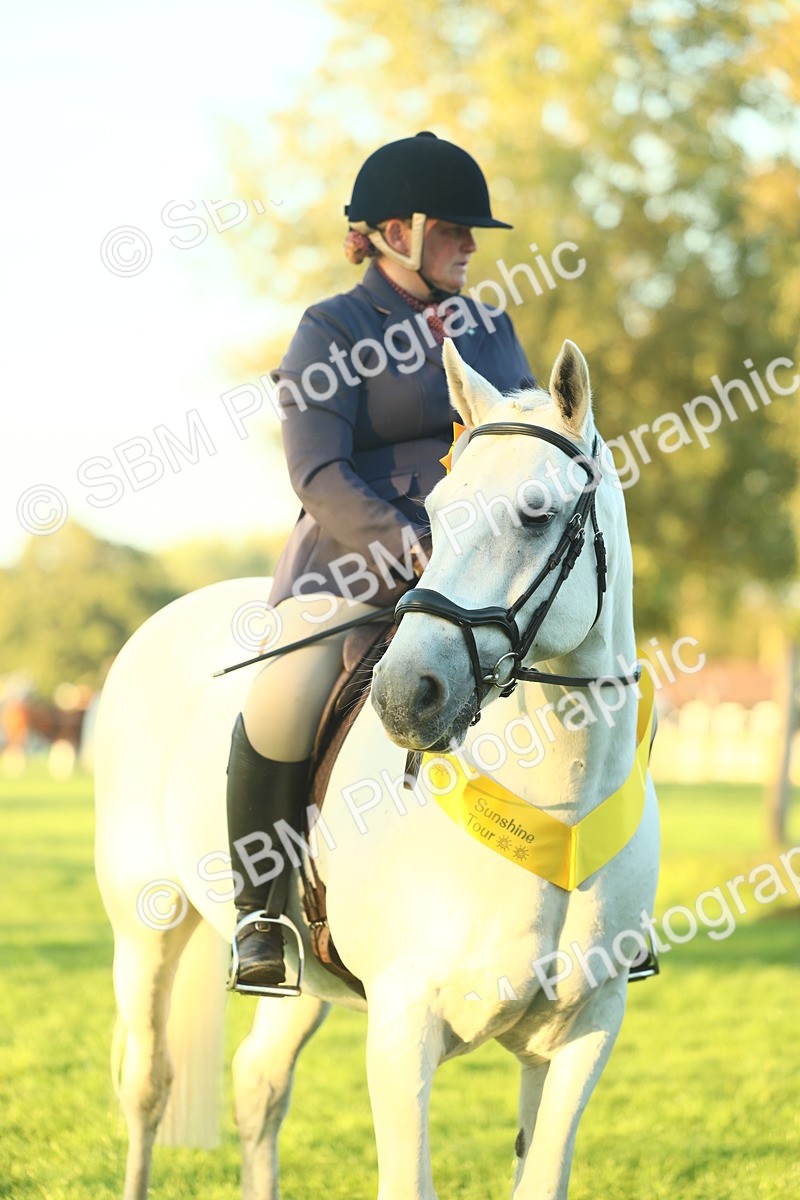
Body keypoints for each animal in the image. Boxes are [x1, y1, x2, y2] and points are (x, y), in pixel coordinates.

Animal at [94, 336, 659, 1200]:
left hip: (300, 979)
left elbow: (541, 1175)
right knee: (146, 1084)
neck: (557, 802)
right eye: (438, 507)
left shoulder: (583, 1032)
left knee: (258, 1081)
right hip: (146, 925)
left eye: (537, 512)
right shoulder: (402, 1026)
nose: (405, 694)